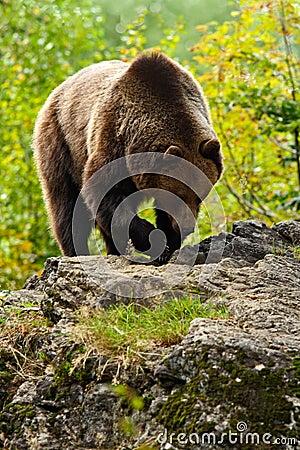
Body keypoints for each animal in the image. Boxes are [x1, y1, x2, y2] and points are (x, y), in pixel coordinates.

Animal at [33, 52, 223, 264]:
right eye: (179, 195)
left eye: (199, 197)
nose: (187, 226)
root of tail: (59, 88)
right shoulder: (113, 140)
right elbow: (104, 194)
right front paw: (157, 241)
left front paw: (169, 242)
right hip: (61, 143)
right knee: (66, 205)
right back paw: (77, 251)